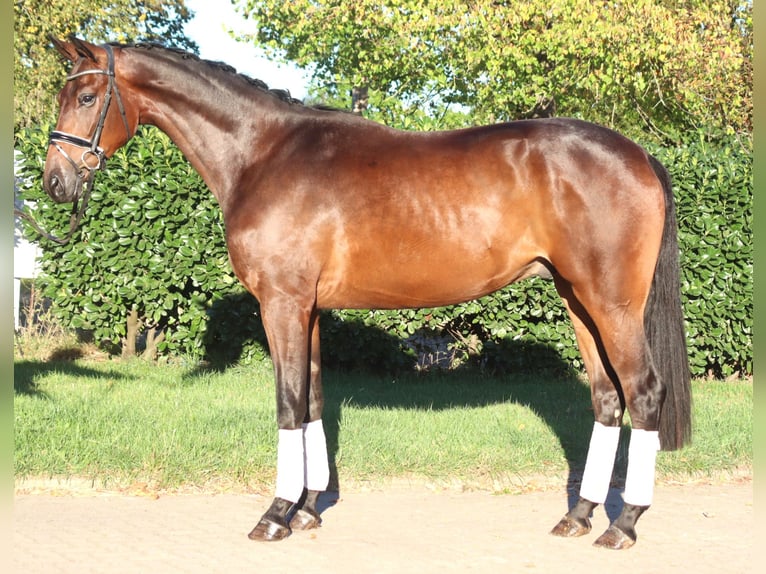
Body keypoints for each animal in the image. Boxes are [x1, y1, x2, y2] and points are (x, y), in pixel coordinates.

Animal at [42, 36, 691, 549]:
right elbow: (312, 400)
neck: (262, 153)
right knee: (607, 398)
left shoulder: (281, 304)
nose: (54, 182)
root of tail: (637, 154)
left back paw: (623, 524)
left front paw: (274, 516)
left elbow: (287, 403)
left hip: (612, 306)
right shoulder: (307, 309)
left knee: (644, 393)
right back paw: (578, 516)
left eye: (86, 98)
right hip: (578, 301)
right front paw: (307, 510)